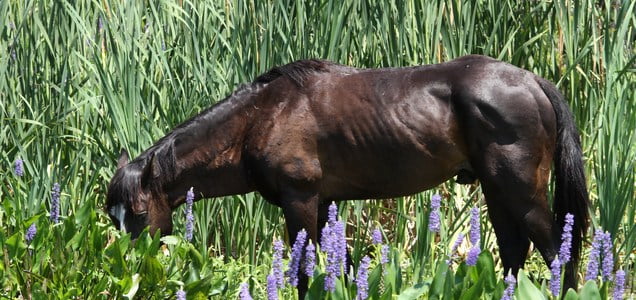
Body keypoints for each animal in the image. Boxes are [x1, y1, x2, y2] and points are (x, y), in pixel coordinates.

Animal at [107, 55, 588, 296]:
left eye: (139, 212)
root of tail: (532, 81)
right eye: (113, 217)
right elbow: (339, 265)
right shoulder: (322, 205)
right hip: (496, 190)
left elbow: (303, 269)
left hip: (520, 191)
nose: (128, 268)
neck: (262, 116)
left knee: (555, 253)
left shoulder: (300, 200)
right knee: (514, 252)